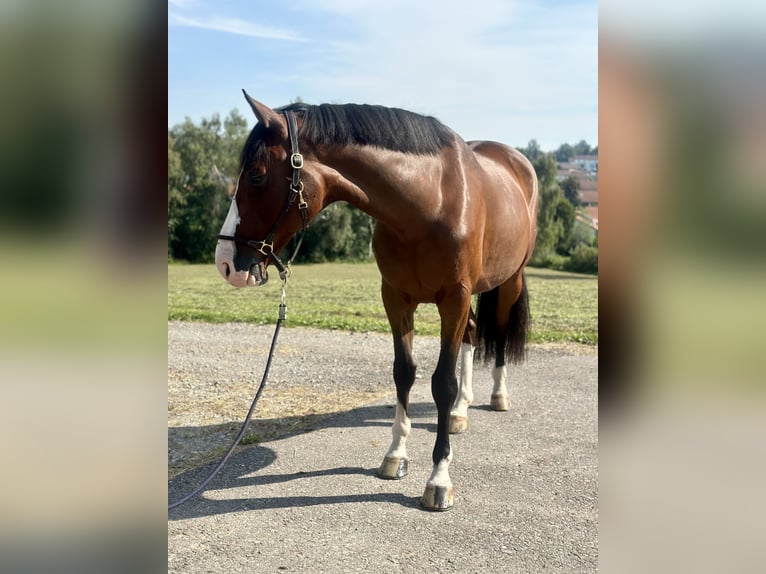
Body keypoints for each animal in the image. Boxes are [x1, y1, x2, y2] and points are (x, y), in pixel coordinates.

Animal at [216, 91, 540, 512]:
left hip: (508, 282)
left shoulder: (453, 298)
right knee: (471, 334)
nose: (225, 263)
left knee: (496, 334)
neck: (430, 201)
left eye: (256, 175)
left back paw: (497, 396)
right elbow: (404, 373)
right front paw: (395, 455)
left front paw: (439, 479)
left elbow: (441, 382)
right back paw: (459, 412)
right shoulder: (395, 297)